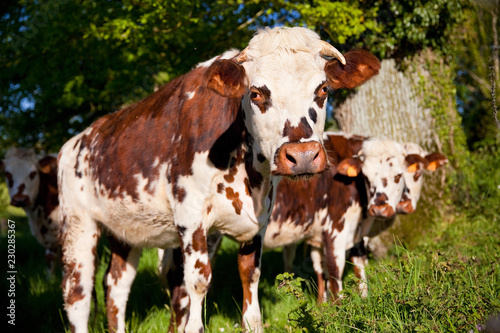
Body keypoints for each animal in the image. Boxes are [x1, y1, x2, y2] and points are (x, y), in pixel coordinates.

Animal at [57, 26, 378, 332]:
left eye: (322, 89)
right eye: (256, 94)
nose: (302, 156)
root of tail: (77, 141)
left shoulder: (258, 221)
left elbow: (249, 277)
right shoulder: (191, 218)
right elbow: (197, 282)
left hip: (126, 230)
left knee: (116, 286)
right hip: (78, 224)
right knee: (77, 295)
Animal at [264, 132, 408, 300]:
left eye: (398, 176)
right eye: (366, 177)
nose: (379, 209)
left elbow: (344, 267)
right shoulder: (334, 229)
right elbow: (334, 271)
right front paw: (339, 304)